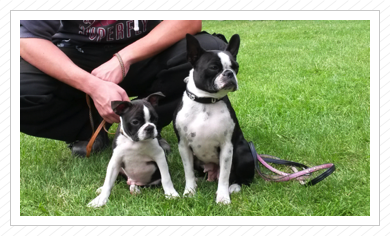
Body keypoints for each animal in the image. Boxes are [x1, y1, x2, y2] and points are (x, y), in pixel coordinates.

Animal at [174, 34, 256, 204]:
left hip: (242, 152)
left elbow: (224, 176)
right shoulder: (183, 146)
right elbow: (188, 171)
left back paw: (235, 186)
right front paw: (189, 191)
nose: (229, 73)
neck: (206, 102)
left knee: (242, 179)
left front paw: (223, 197)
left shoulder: (227, 147)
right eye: (213, 67)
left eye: (236, 66)